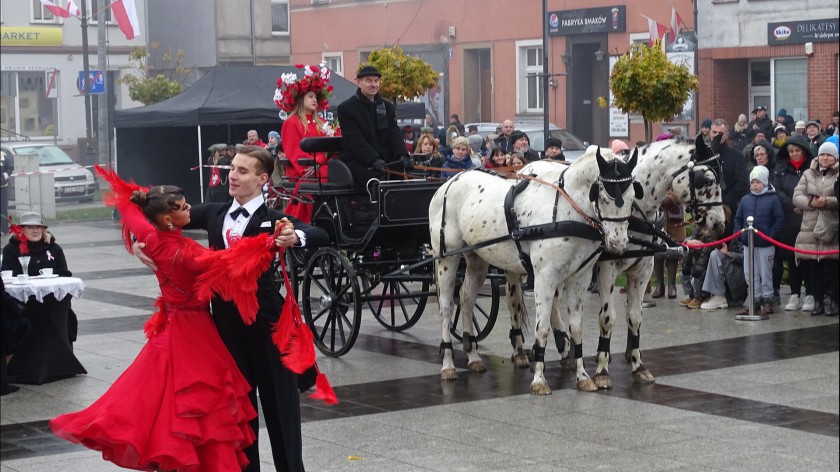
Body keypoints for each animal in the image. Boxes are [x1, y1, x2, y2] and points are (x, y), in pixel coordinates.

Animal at [430, 148, 640, 394]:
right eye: (604, 197)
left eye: (632, 198)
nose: (618, 244)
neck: (567, 210)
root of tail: (449, 182)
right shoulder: (544, 277)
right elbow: (543, 329)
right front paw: (539, 379)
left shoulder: (580, 277)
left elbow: (576, 328)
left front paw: (583, 377)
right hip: (447, 258)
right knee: (446, 306)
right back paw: (448, 364)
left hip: (477, 259)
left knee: (466, 298)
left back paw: (473, 356)